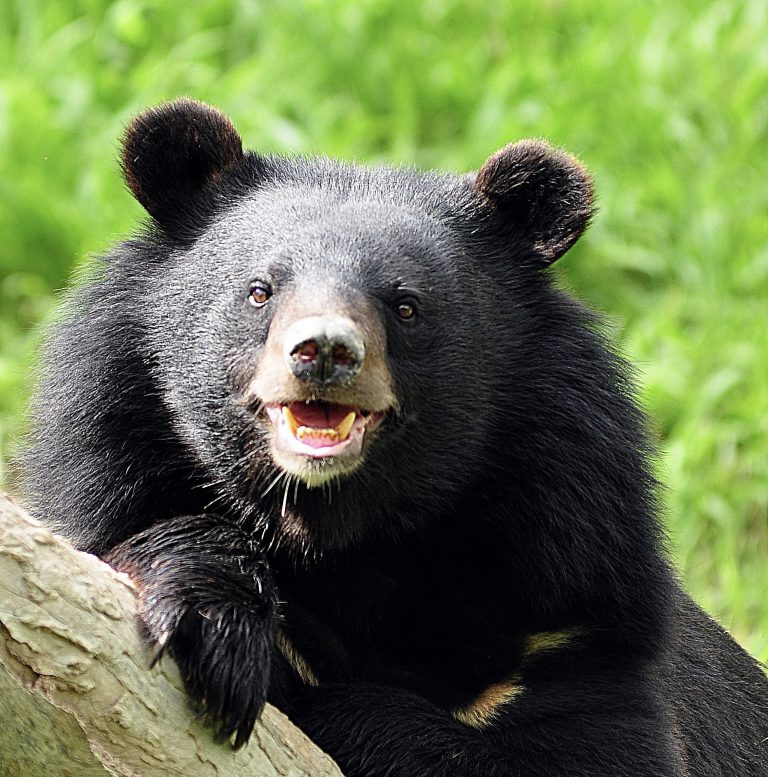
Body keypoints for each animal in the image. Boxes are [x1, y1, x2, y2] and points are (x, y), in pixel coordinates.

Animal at [22, 98, 767, 776]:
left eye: (406, 305)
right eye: (261, 291)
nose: (324, 350)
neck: (342, 529)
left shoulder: (573, 619)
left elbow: (578, 750)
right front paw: (214, 629)